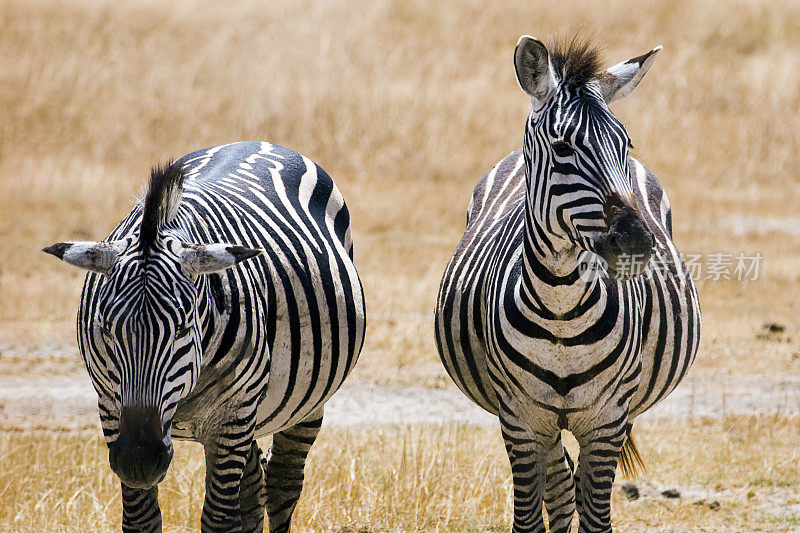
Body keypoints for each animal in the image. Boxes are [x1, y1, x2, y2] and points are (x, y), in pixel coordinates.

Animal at [45, 141, 364, 532]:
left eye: (182, 329)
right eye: (106, 329)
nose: (139, 460)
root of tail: (255, 142)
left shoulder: (232, 414)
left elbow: (220, 520)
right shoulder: (109, 405)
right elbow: (141, 520)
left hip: (301, 404)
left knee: (282, 481)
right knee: (254, 484)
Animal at [434, 35, 704, 528]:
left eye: (626, 144)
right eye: (562, 148)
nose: (637, 241)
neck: (562, 308)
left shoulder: (607, 420)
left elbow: (597, 517)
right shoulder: (520, 421)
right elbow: (529, 517)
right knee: (560, 486)